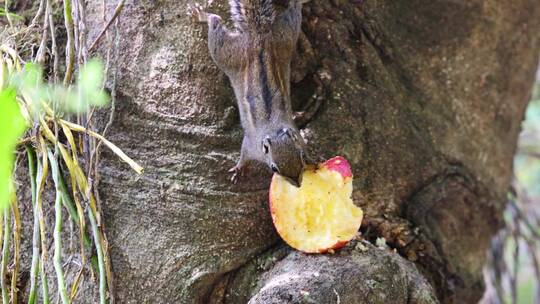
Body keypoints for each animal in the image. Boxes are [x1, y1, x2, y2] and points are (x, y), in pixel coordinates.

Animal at [189, 0, 312, 186]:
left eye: (303, 157)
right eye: (274, 169)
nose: (297, 184)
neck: (273, 129)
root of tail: (258, 36)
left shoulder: (299, 139)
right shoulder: (250, 145)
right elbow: (244, 156)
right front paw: (239, 169)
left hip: (285, 36)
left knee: (293, 13)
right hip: (228, 53)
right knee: (215, 22)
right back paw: (201, 15)